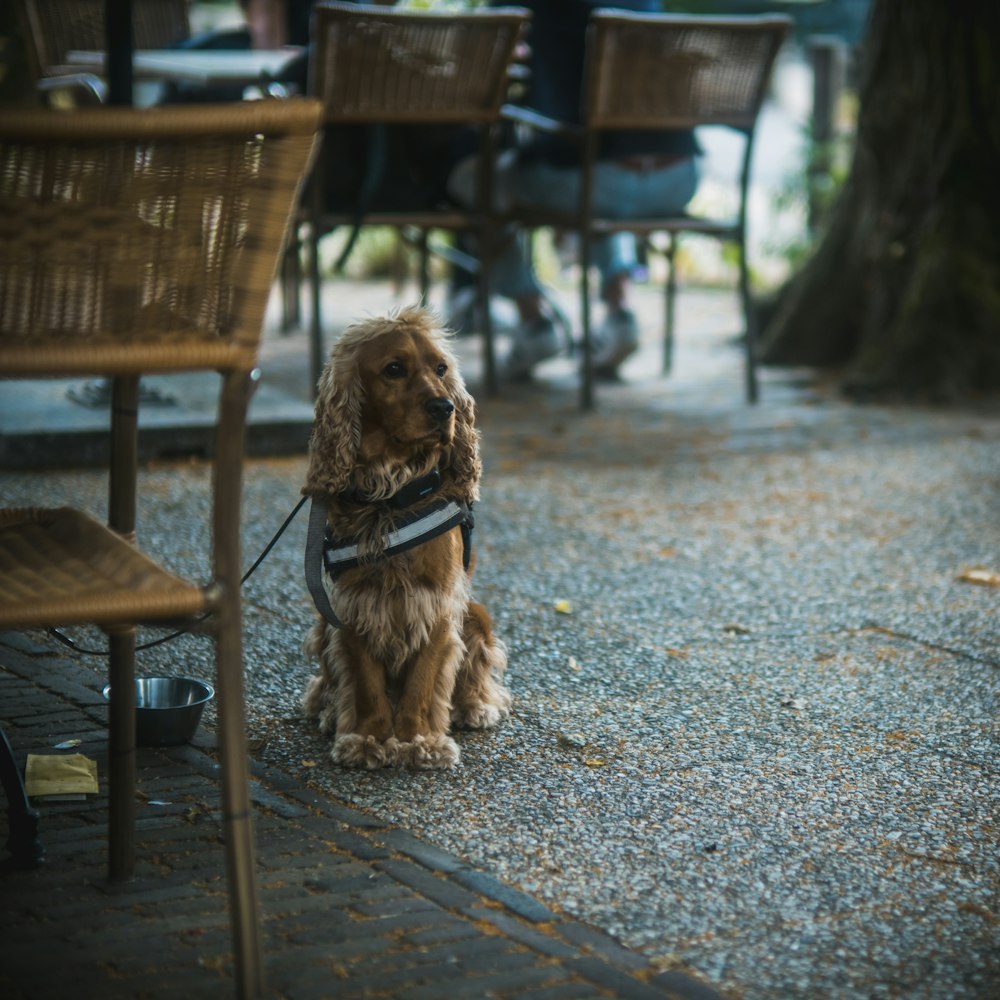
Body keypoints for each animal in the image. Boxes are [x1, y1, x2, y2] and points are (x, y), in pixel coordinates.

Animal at [300, 302, 512, 764]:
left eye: (441, 367)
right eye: (394, 368)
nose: (445, 407)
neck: (391, 494)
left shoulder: (436, 602)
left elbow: (423, 680)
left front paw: (419, 740)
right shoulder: (352, 605)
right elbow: (365, 681)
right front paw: (368, 738)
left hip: (476, 615)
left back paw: (475, 706)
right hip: (323, 623)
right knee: (328, 680)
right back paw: (328, 709)